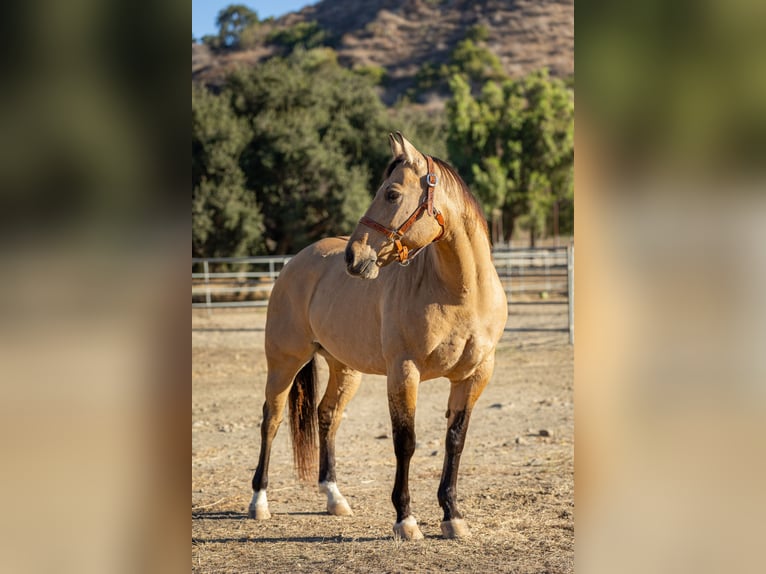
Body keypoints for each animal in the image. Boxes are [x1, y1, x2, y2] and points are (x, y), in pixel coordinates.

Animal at [248, 132, 508, 540]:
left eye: (391, 193)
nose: (353, 257)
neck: (461, 294)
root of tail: (295, 262)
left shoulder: (475, 374)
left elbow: (455, 440)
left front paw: (452, 515)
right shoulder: (404, 371)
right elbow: (406, 442)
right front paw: (405, 519)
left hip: (344, 368)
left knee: (327, 415)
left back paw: (334, 497)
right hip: (284, 363)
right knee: (271, 420)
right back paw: (259, 502)